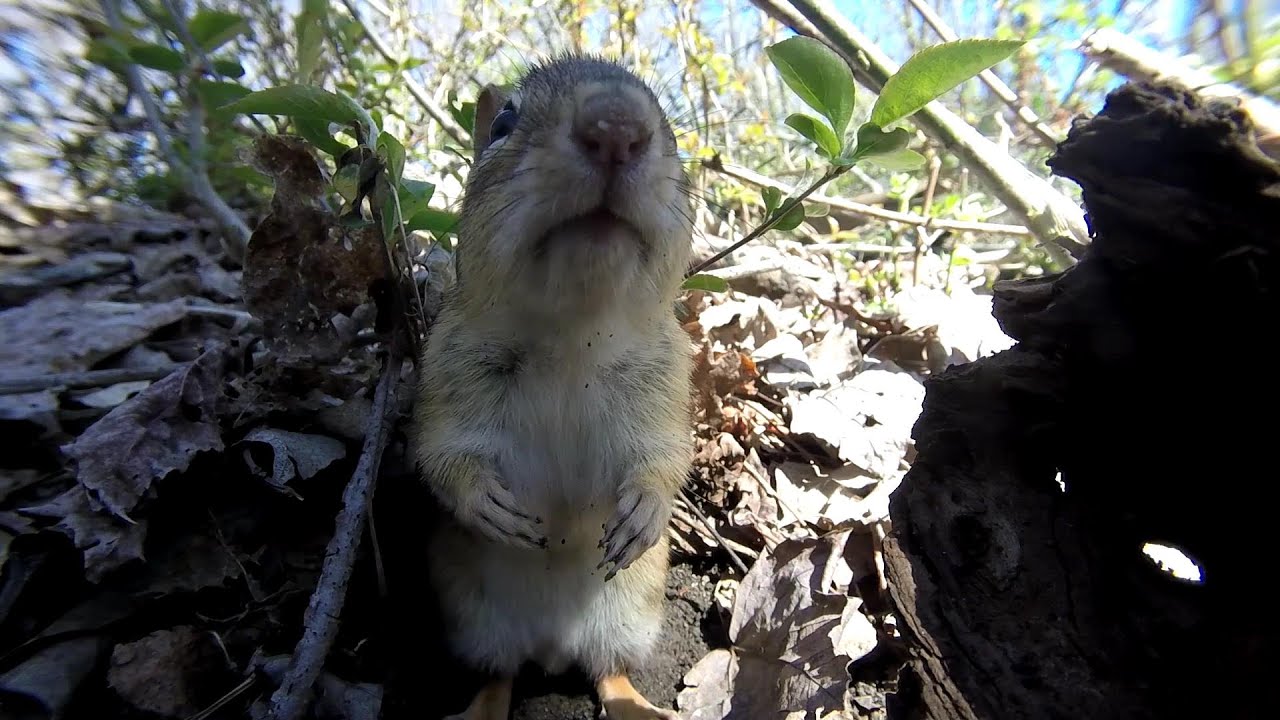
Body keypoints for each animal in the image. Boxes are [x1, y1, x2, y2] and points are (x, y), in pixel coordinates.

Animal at [412, 53, 694, 720]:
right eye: (502, 125)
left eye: (673, 131)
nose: (617, 128)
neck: (574, 338)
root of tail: (552, 646)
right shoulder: (445, 377)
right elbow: (440, 456)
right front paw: (483, 501)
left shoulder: (667, 386)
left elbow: (669, 457)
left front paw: (648, 508)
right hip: (477, 622)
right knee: (500, 674)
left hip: (630, 617)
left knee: (609, 672)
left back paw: (637, 705)